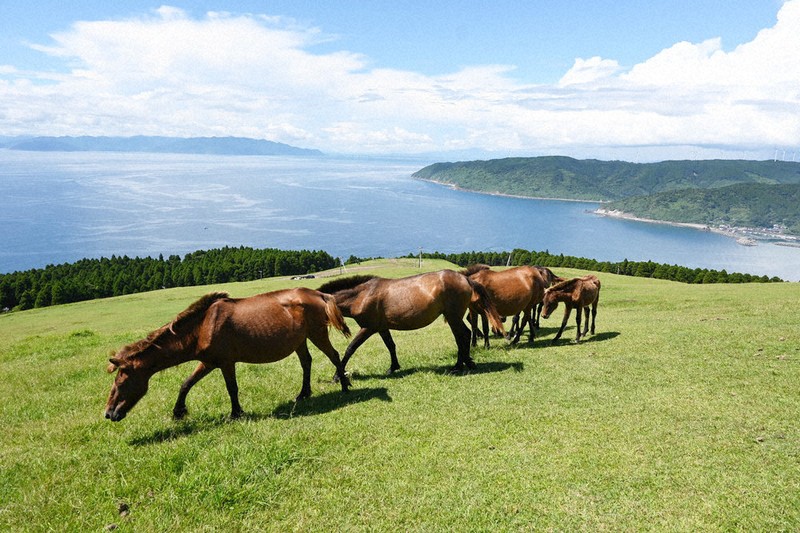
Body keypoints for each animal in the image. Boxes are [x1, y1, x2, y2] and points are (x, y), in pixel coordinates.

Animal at [105, 288, 352, 422]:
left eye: (121, 382)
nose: (109, 413)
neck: (202, 327)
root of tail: (319, 294)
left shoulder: (225, 362)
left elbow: (231, 388)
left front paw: (236, 413)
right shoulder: (207, 362)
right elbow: (186, 384)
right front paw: (178, 412)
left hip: (317, 334)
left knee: (334, 356)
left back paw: (344, 386)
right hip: (300, 340)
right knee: (306, 363)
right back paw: (303, 394)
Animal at [317, 269, 504, 377]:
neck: (362, 295)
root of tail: (466, 279)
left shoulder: (368, 328)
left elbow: (350, 348)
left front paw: (337, 375)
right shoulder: (381, 327)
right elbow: (390, 345)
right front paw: (393, 367)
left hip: (453, 317)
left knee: (463, 336)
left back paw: (460, 365)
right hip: (454, 317)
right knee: (463, 336)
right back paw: (465, 363)